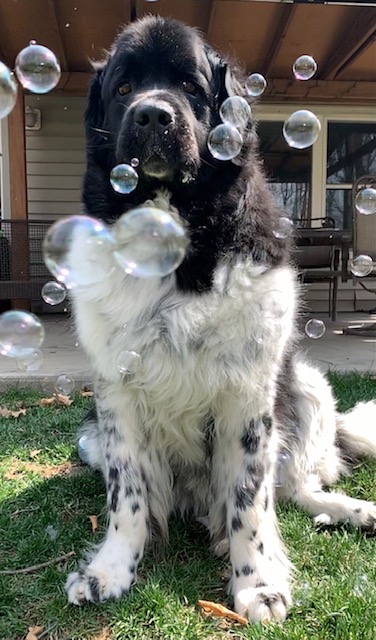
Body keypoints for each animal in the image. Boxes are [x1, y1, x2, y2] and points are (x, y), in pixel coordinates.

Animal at [65, 17, 376, 624]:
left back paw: (348, 509)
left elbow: (249, 502)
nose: (152, 114)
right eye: (122, 88)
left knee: (296, 487)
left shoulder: (249, 395)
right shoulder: (117, 393)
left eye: (189, 86)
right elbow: (126, 496)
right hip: (91, 439)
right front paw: (110, 570)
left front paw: (258, 584)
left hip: (308, 385)